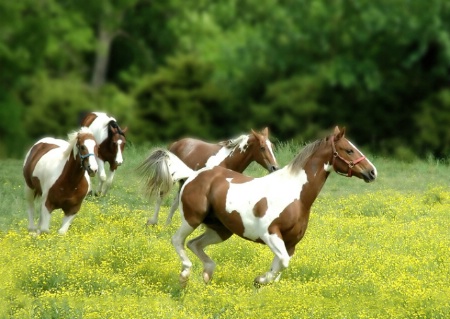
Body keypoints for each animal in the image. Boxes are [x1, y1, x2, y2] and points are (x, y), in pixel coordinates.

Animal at [142, 126, 280, 226]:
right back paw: (154, 222)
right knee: (161, 196)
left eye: (272, 146)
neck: (228, 161)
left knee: (175, 202)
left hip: (183, 181)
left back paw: (168, 225)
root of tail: (176, 144)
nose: (275, 167)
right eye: (262, 147)